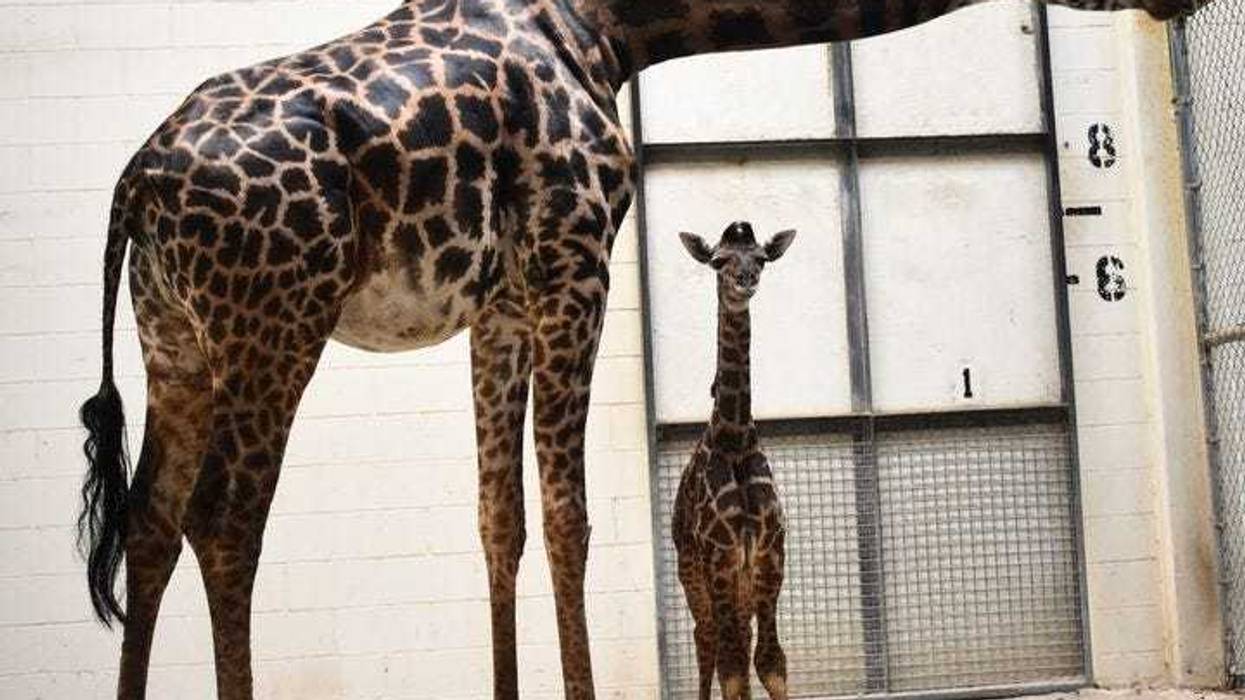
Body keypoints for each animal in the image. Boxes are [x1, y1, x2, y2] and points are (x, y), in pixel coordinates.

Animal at [673, 222, 795, 700]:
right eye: (719, 260)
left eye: (760, 258)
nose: (746, 281)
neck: (735, 437)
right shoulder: (720, 556)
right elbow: (733, 671)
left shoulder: (769, 554)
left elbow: (770, 661)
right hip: (693, 572)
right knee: (706, 637)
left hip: (740, 584)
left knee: (737, 640)